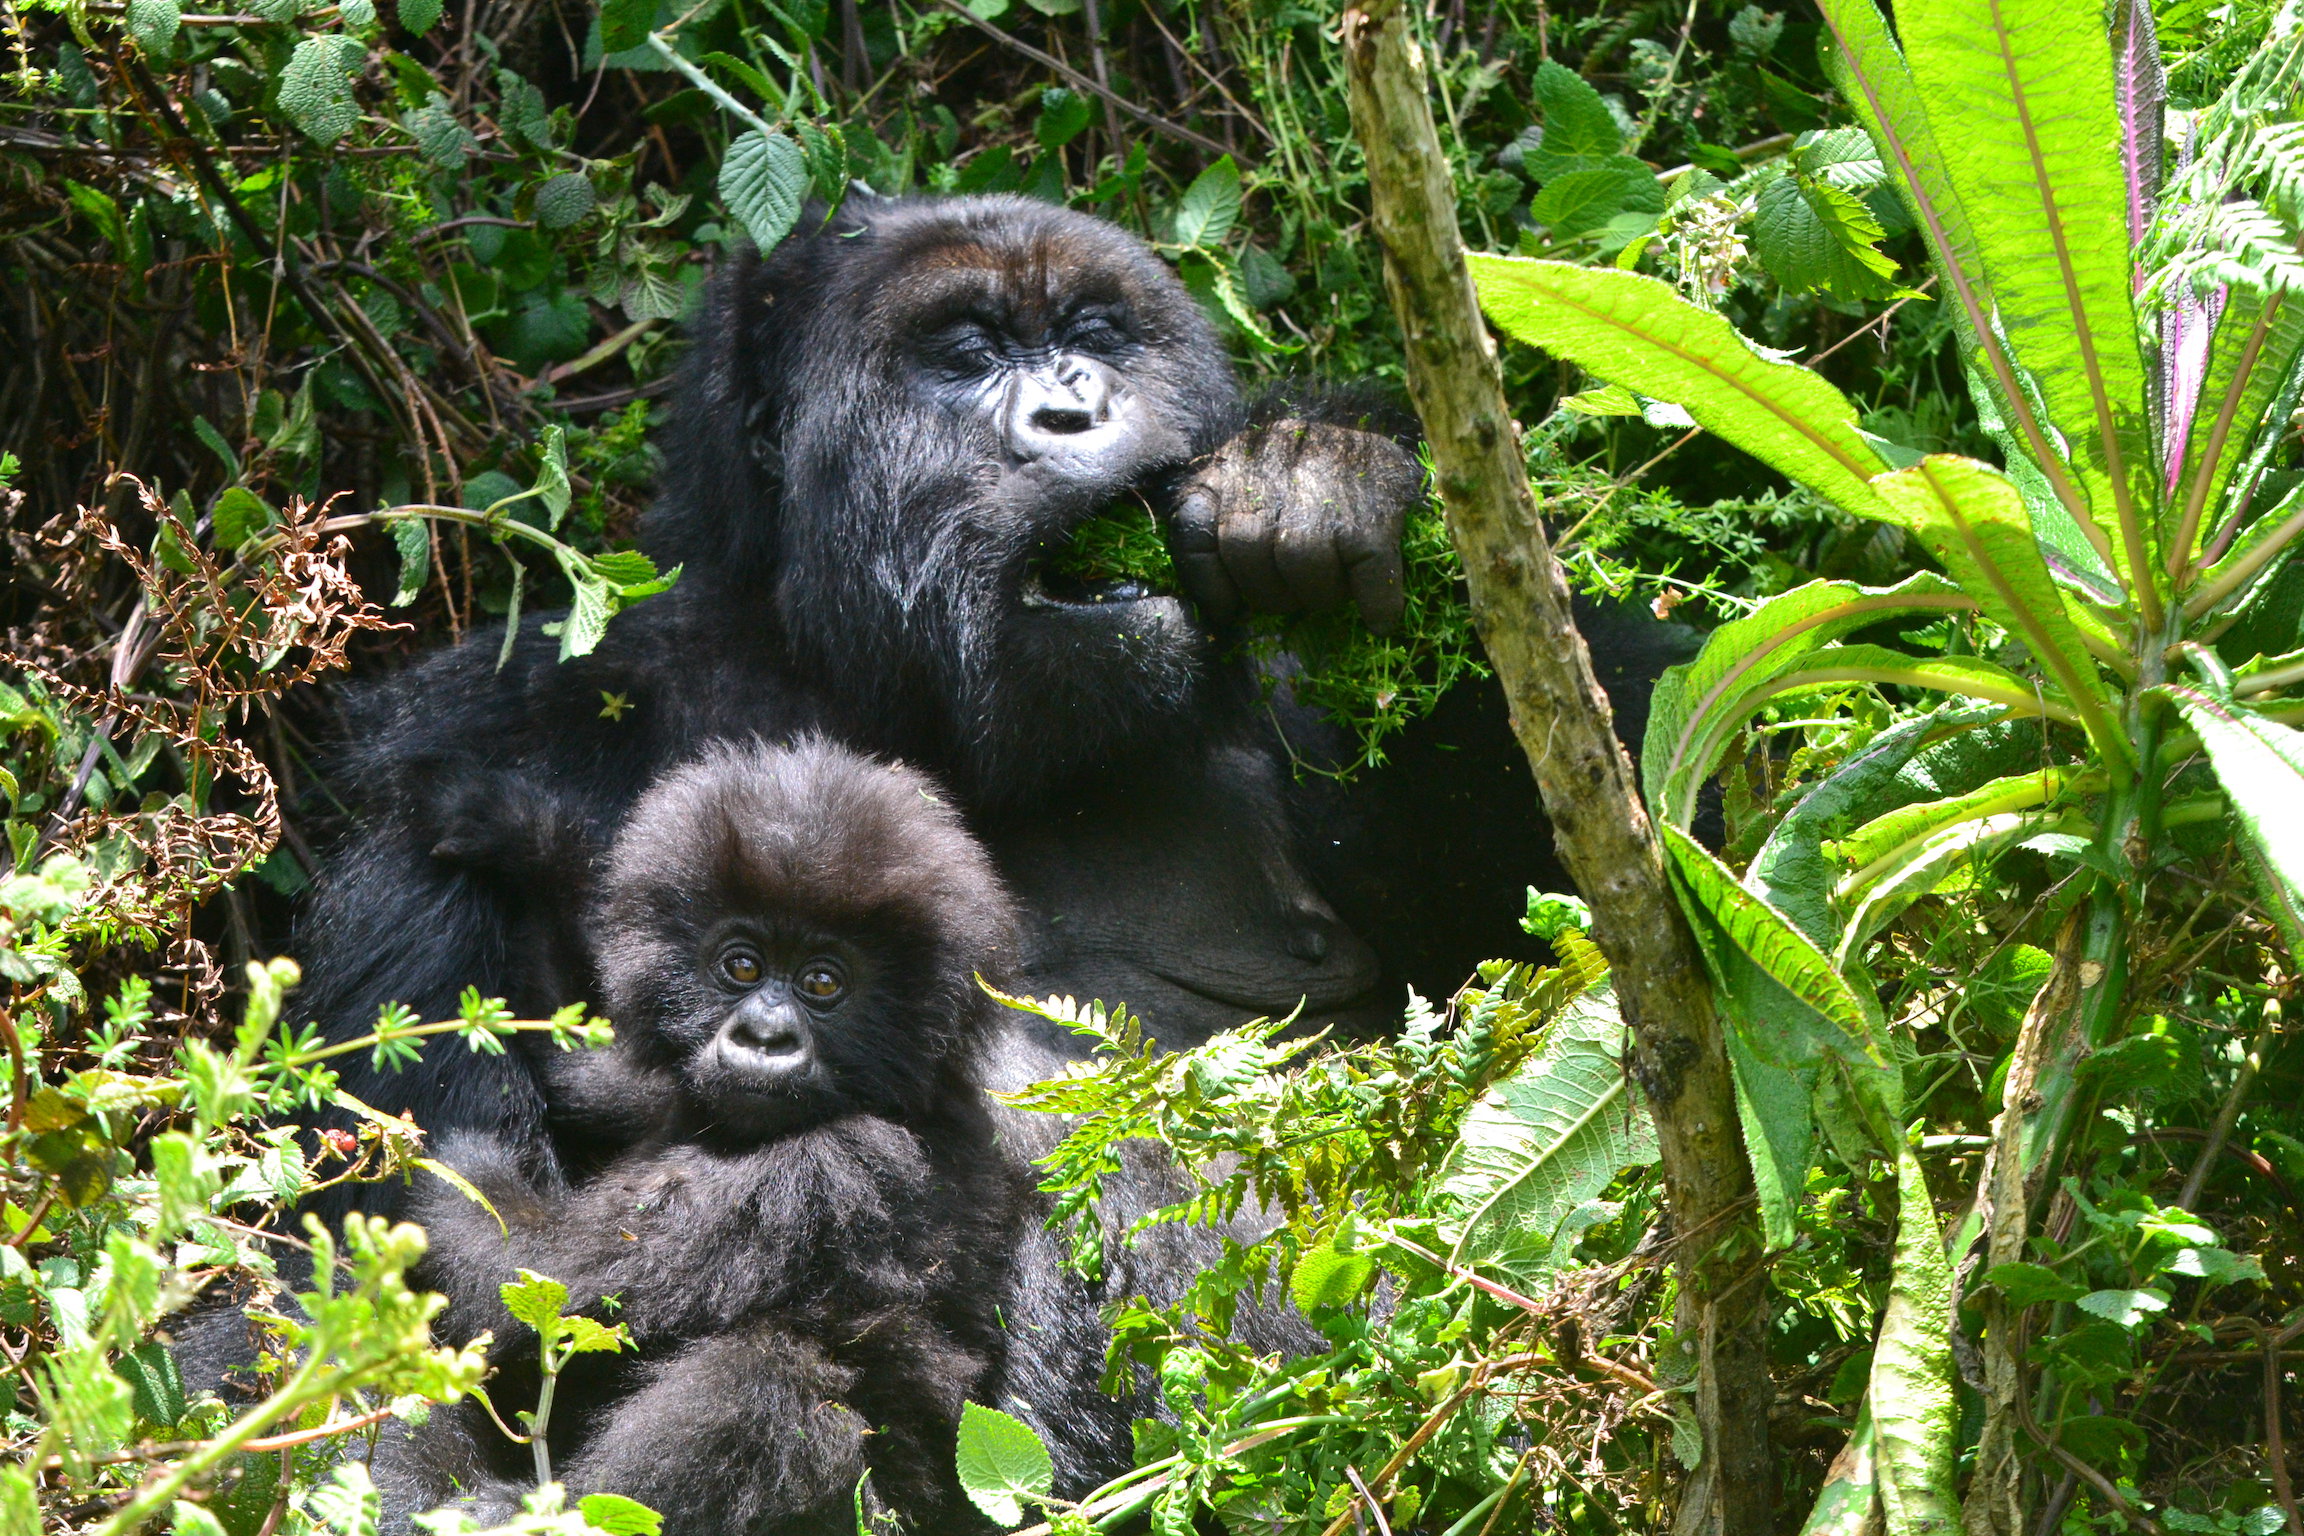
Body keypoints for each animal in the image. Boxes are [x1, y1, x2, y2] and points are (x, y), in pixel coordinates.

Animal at [297, 192, 1686, 1160]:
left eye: (1094, 335)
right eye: (963, 352)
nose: (1074, 412)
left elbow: (1571, 929)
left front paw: (1318, 479)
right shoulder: (491, 746)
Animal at [387, 736, 1027, 1529]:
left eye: (823, 983)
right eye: (742, 965)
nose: (764, 1037)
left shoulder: (837, 1165)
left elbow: (542, 1282)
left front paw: (453, 1161)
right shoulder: (657, 1088)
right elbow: (582, 1062)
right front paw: (526, 843)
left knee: (767, 1374)